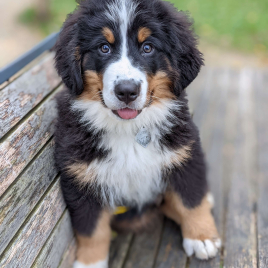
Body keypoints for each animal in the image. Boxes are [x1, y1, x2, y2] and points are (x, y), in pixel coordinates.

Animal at [53, 0, 221, 266]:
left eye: (147, 48)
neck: (129, 130)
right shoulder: (81, 180)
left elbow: (191, 200)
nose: (126, 91)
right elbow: (92, 230)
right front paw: (90, 261)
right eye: (103, 48)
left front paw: (201, 237)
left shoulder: (184, 155)